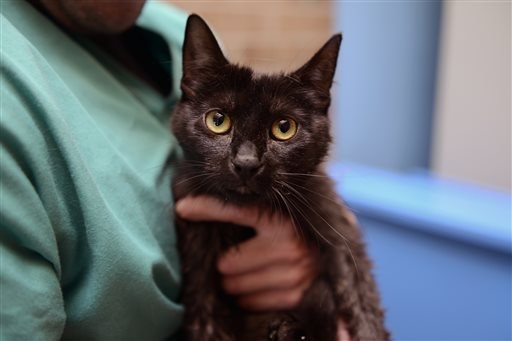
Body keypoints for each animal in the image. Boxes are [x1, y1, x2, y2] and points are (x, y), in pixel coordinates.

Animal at [171, 13, 388, 340]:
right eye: (218, 121)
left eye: (284, 128)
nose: (246, 163)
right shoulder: (198, 250)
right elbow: (204, 319)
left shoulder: (333, 220)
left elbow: (359, 291)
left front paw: (367, 329)